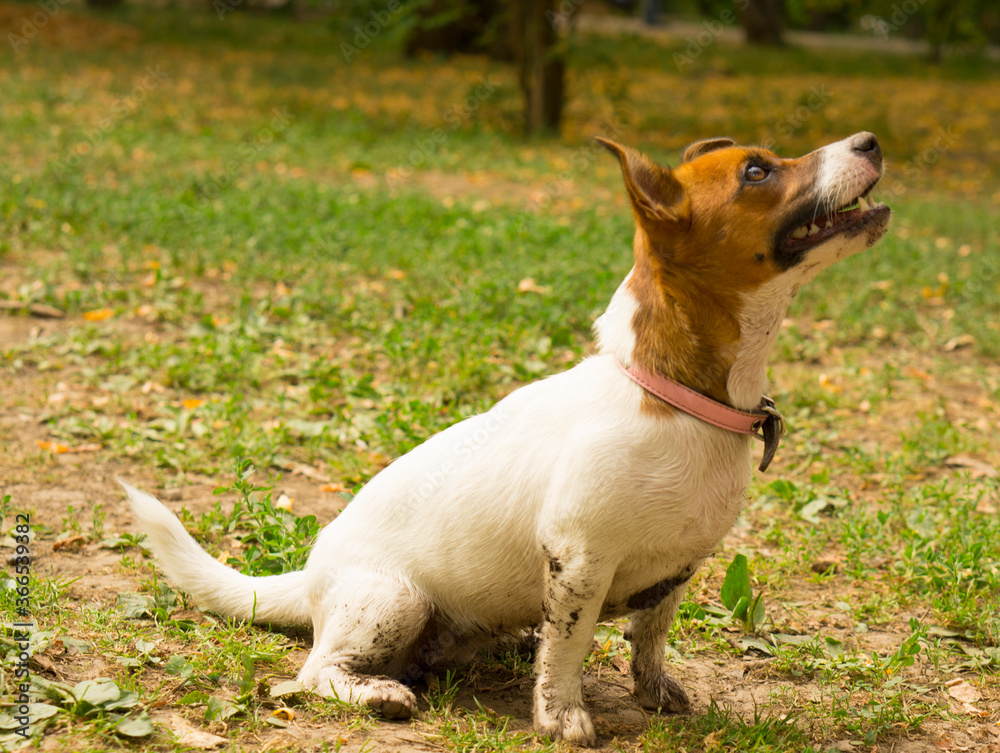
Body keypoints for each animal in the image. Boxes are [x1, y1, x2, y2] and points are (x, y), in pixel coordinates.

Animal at [119, 132, 892, 744]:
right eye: (757, 171)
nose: (870, 140)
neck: (676, 398)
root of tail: (307, 578)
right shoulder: (579, 557)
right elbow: (569, 648)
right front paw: (562, 717)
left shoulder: (677, 567)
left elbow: (649, 638)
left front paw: (653, 692)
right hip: (391, 601)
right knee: (314, 673)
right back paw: (380, 692)